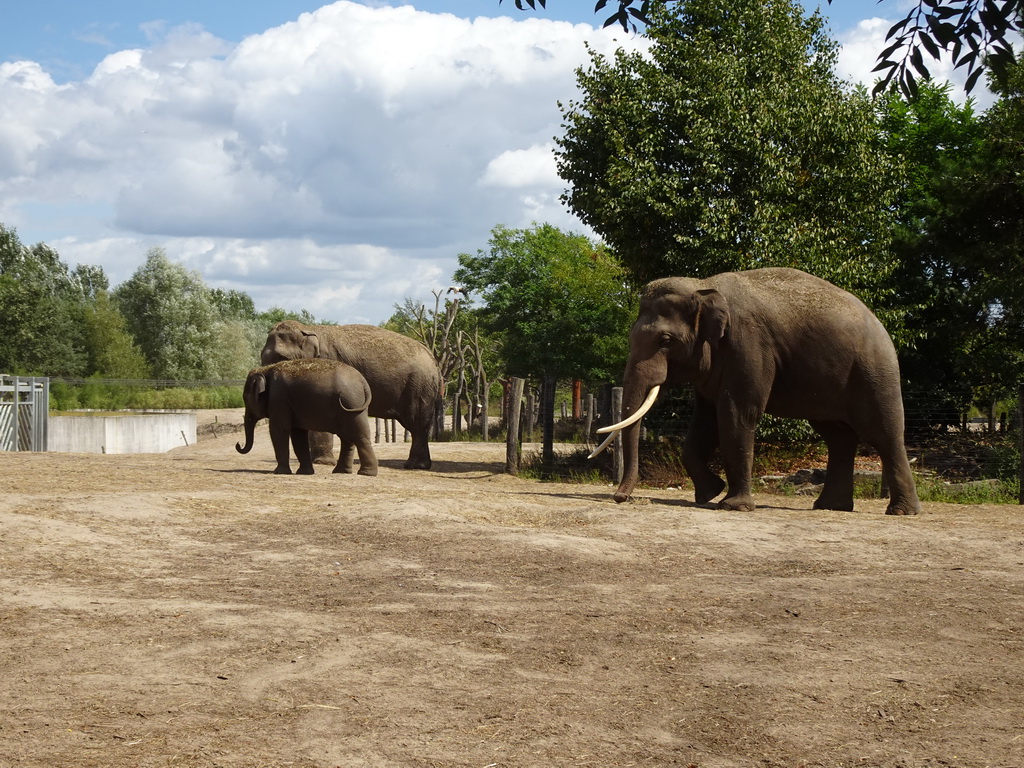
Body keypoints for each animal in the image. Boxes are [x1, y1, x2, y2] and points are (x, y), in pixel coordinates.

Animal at [234, 360, 378, 479]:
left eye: (245, 399)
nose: (238, 444)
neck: (266, 369)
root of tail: (363, 382)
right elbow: (298, 434)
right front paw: (304, 472)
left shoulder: (278, 398)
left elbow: (279, 430)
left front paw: (279, 472)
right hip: (353, 406)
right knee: (347, 438)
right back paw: (341, 472)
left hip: (351, 404)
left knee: (359, 436)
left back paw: (366, 473)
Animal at [260, 323, 440, 473]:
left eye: (281, 358)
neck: (309, 328)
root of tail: (432, 357)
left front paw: (323, 463)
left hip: (419, 386)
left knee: (417, 423)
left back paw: (415, 465)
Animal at [593, 268, 921, 518]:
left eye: (665, 340)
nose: (620, 498)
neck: (703, 286)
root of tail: (880, 324)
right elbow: (705, 420)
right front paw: (710, 493)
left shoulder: (748, 344)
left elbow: (737, 413)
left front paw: (732, 506)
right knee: (838, 436)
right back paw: (831, 507)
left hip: (874, 372)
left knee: (883, 432)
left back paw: (901, 512)